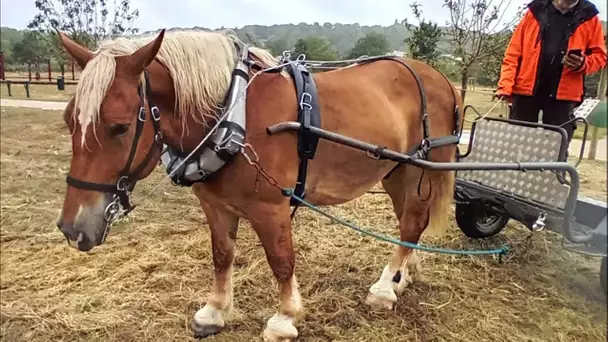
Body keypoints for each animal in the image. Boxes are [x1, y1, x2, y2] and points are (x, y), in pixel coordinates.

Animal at [55, 29, 460, 342]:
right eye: (69, 120)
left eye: (120, 127)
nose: (72, 228)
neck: (232, 112)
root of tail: (442, 79)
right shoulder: (215, 204)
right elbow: (222, 256)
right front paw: (215, 311)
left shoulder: (271, 207)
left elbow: (281, 261)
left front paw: (285, 318)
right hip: (396, 171)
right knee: (410, 222)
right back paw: (401, 277)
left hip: (422, 171)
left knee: (411, 223)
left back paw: (383, 288)